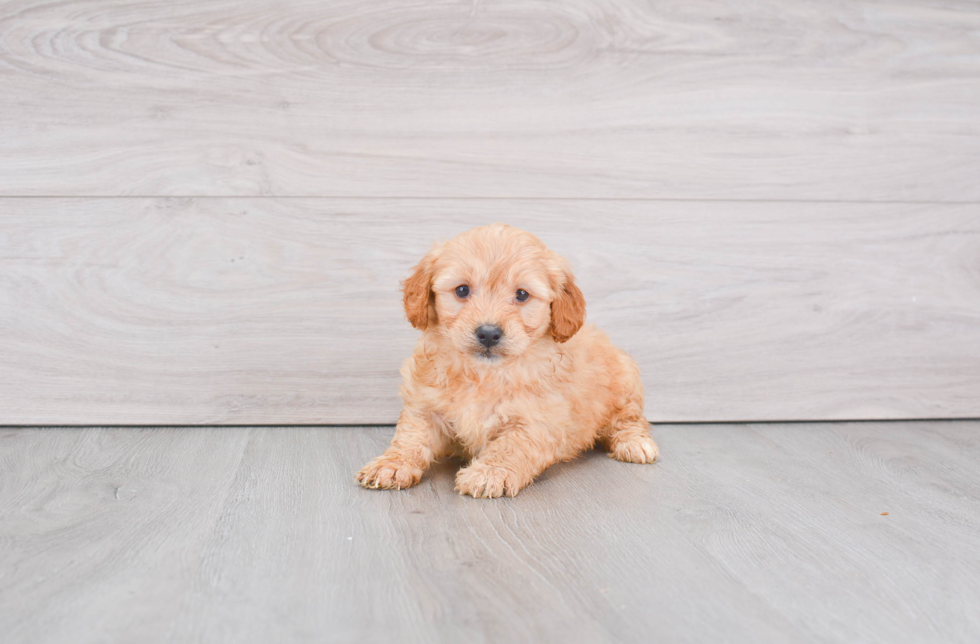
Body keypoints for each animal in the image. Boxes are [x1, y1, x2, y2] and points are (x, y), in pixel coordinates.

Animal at [354, 224, 660, 500]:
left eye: (522, 294)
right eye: (462, 290)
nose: (489, 333)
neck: (484, 374)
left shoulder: (537, 420)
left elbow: (512, 446)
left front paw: (490, 473)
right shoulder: (424, 405)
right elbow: (411, 438)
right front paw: (392, 465)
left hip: (625, 382)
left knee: (629, 419)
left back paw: (635, 443)